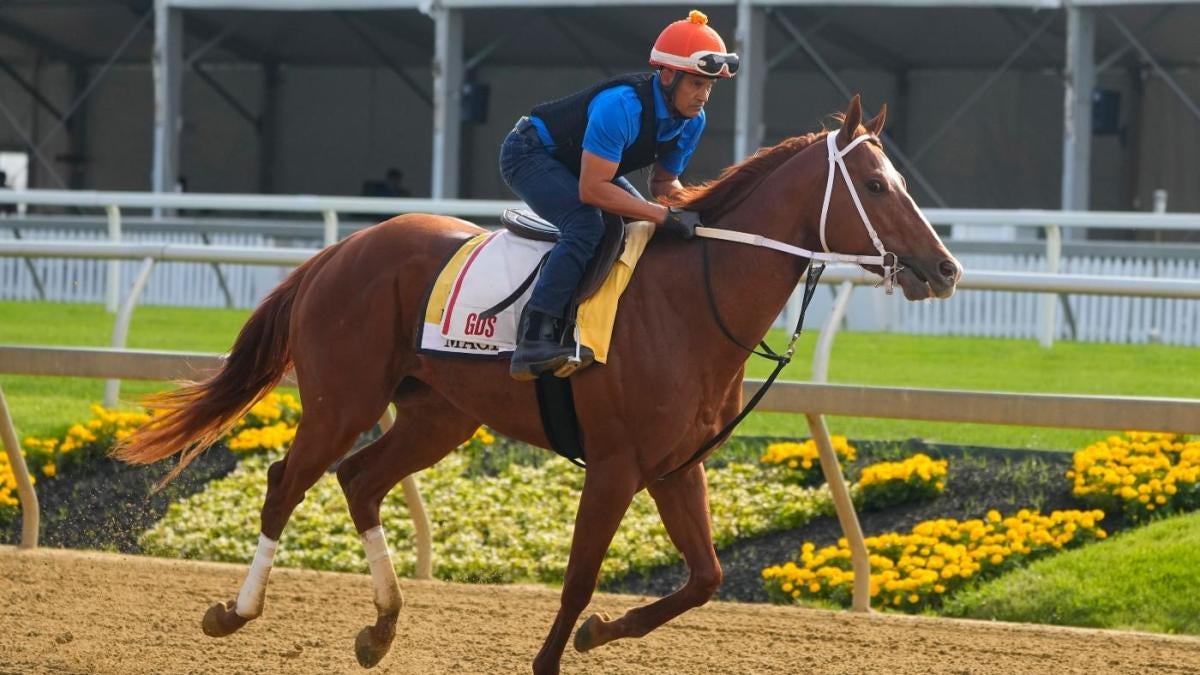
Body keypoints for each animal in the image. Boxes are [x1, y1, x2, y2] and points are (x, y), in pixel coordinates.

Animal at [117, 96, 960, 672]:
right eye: (877, 185)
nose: (946, 268)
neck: (693, 299)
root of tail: (343, 249)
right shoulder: (616, 465)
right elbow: (581, 578)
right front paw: (560, 648)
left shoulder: (675, 466)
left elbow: (706, 578)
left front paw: (598, 634)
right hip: (342, 395)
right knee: (287, 480)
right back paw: (234, 611)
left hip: (438, 414)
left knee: (359, 480)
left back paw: (381, 627)